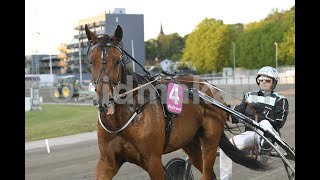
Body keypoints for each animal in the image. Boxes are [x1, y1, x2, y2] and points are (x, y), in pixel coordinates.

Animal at [84, 24, 266, 180]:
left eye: (117, 60)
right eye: (91, 61)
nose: (104, 102)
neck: (125, 118)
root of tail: (210, 87)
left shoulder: (153, 161)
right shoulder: (107, 162)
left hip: (210, 140)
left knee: (207, 173)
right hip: (190, 142)